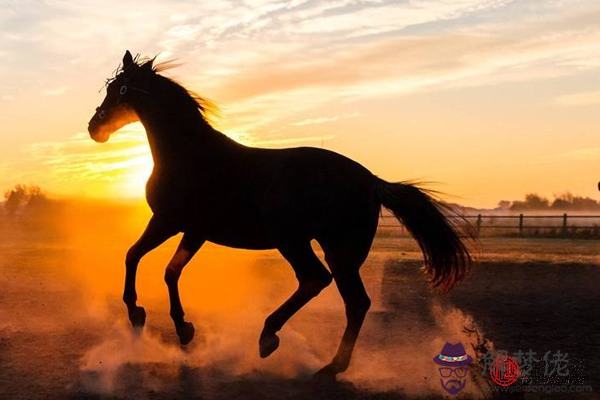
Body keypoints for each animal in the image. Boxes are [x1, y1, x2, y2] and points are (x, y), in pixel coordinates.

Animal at [88, 50, 474, 378]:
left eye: (119, 89)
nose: (95, 128)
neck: (190, 155)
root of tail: (372, 181)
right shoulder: (193, 231)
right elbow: (169, 270)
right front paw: (183, 329)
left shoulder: (168, 222)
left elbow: (134, 256)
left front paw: (137, 313)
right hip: (339, 252)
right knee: (356, 303)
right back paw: (330, 367)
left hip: (295, 241)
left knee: (316, 281)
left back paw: (270, 338)